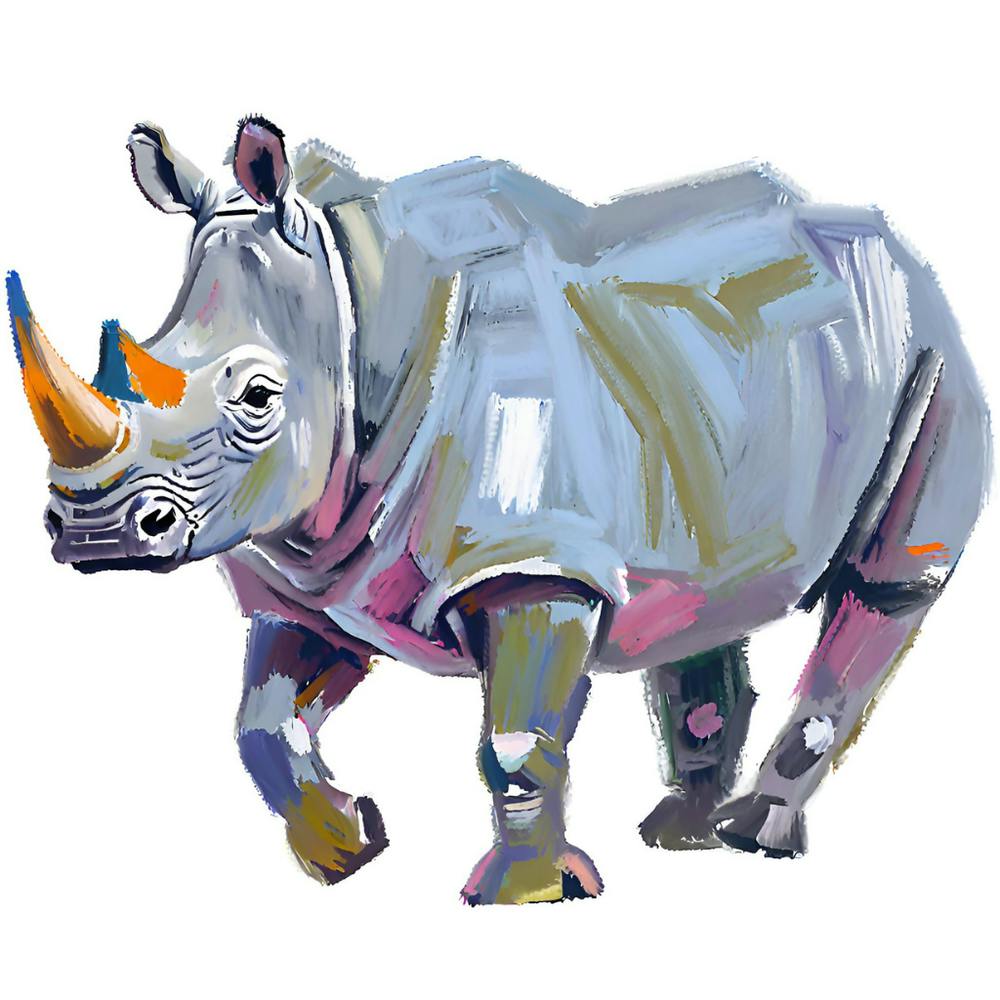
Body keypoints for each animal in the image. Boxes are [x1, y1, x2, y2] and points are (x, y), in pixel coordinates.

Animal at [8, 117, 990, 904]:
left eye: (256, 397)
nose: (88, 529)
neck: (357, 306)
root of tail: (897, 244)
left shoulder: (533, 558)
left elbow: (515, 738)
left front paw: (529, 896)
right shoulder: (318, 579)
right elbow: (262, 724)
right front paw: (348, 850)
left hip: (932, 343)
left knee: (890, 581)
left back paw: (752, 838)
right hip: (733, 393)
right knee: (703, 588)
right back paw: (679, 835)